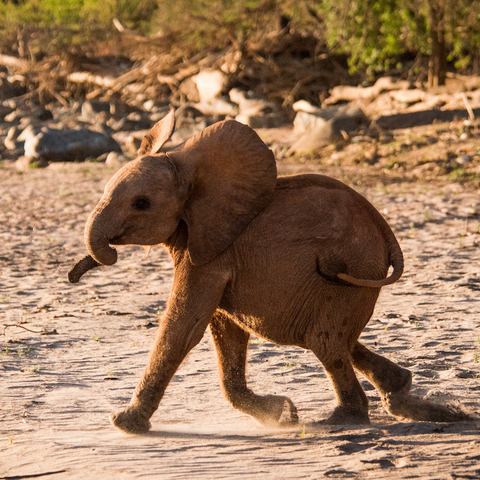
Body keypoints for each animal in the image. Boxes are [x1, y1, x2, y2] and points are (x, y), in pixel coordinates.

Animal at [70, 109, 468, 436]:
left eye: (141, 204)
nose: (76, 274)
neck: (193, 173)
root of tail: (386, 233)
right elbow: (224, 328)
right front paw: (282, 415)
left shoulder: (211, 252)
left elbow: (185, 325)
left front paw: (125, 424)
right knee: (337, 340)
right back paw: (406, 396)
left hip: (353, 268)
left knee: (326, 342)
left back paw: (340, 421)